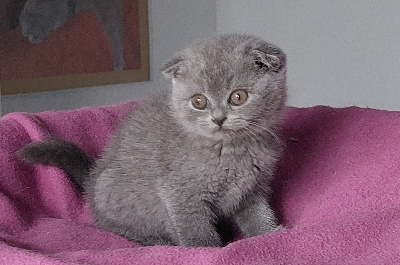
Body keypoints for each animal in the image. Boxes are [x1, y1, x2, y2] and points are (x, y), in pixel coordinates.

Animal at [19, 34, 288, 246]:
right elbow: (195, 229)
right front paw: (206, 249)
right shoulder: (180, 193)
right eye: (199, 101)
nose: (219, 118)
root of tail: (92, 179)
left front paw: (271, 233)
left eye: (238, 96)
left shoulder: (251, 189)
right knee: (118, 229)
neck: (232, 150)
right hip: (115, 194)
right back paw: (157, 240)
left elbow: (257, 216)